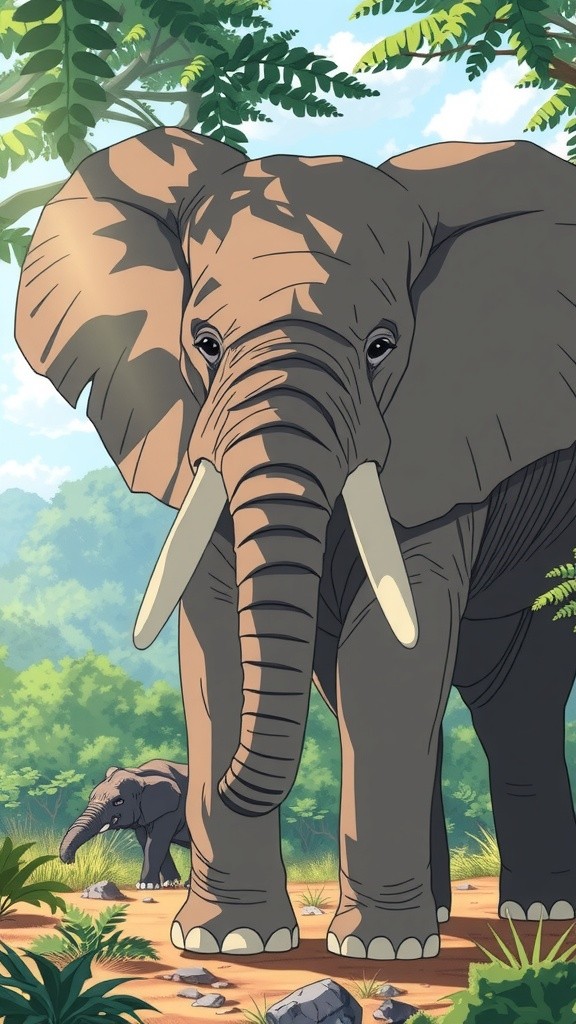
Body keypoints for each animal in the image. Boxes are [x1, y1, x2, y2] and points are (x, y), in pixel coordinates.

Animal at [59, 760, 190, 889]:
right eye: (91, 797)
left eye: (118, 802)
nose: (71, 860)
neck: (140, 773)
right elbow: (146, 841)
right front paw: (170, 883)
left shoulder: (172, 811)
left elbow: (157, 842)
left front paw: (145, 886)